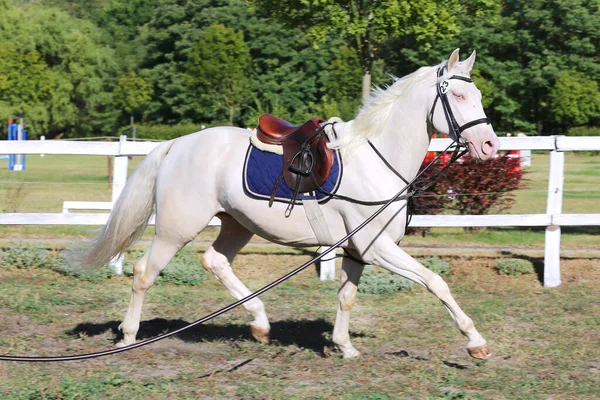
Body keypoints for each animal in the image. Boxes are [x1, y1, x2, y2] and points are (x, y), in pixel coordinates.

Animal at [85, 49, 502, 360]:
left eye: (478, 96)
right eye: (459, 96)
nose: (489, 146)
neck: (377, 160)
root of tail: (176, 144)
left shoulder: (357, 251)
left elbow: (346, 297)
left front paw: (344, 346)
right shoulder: (377, 248)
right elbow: (436, 282)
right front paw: (476, 342)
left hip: (236, 224)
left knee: (215, 261)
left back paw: (259, 324)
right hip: (176, 229)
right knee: (144, 272)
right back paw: (128, 335)